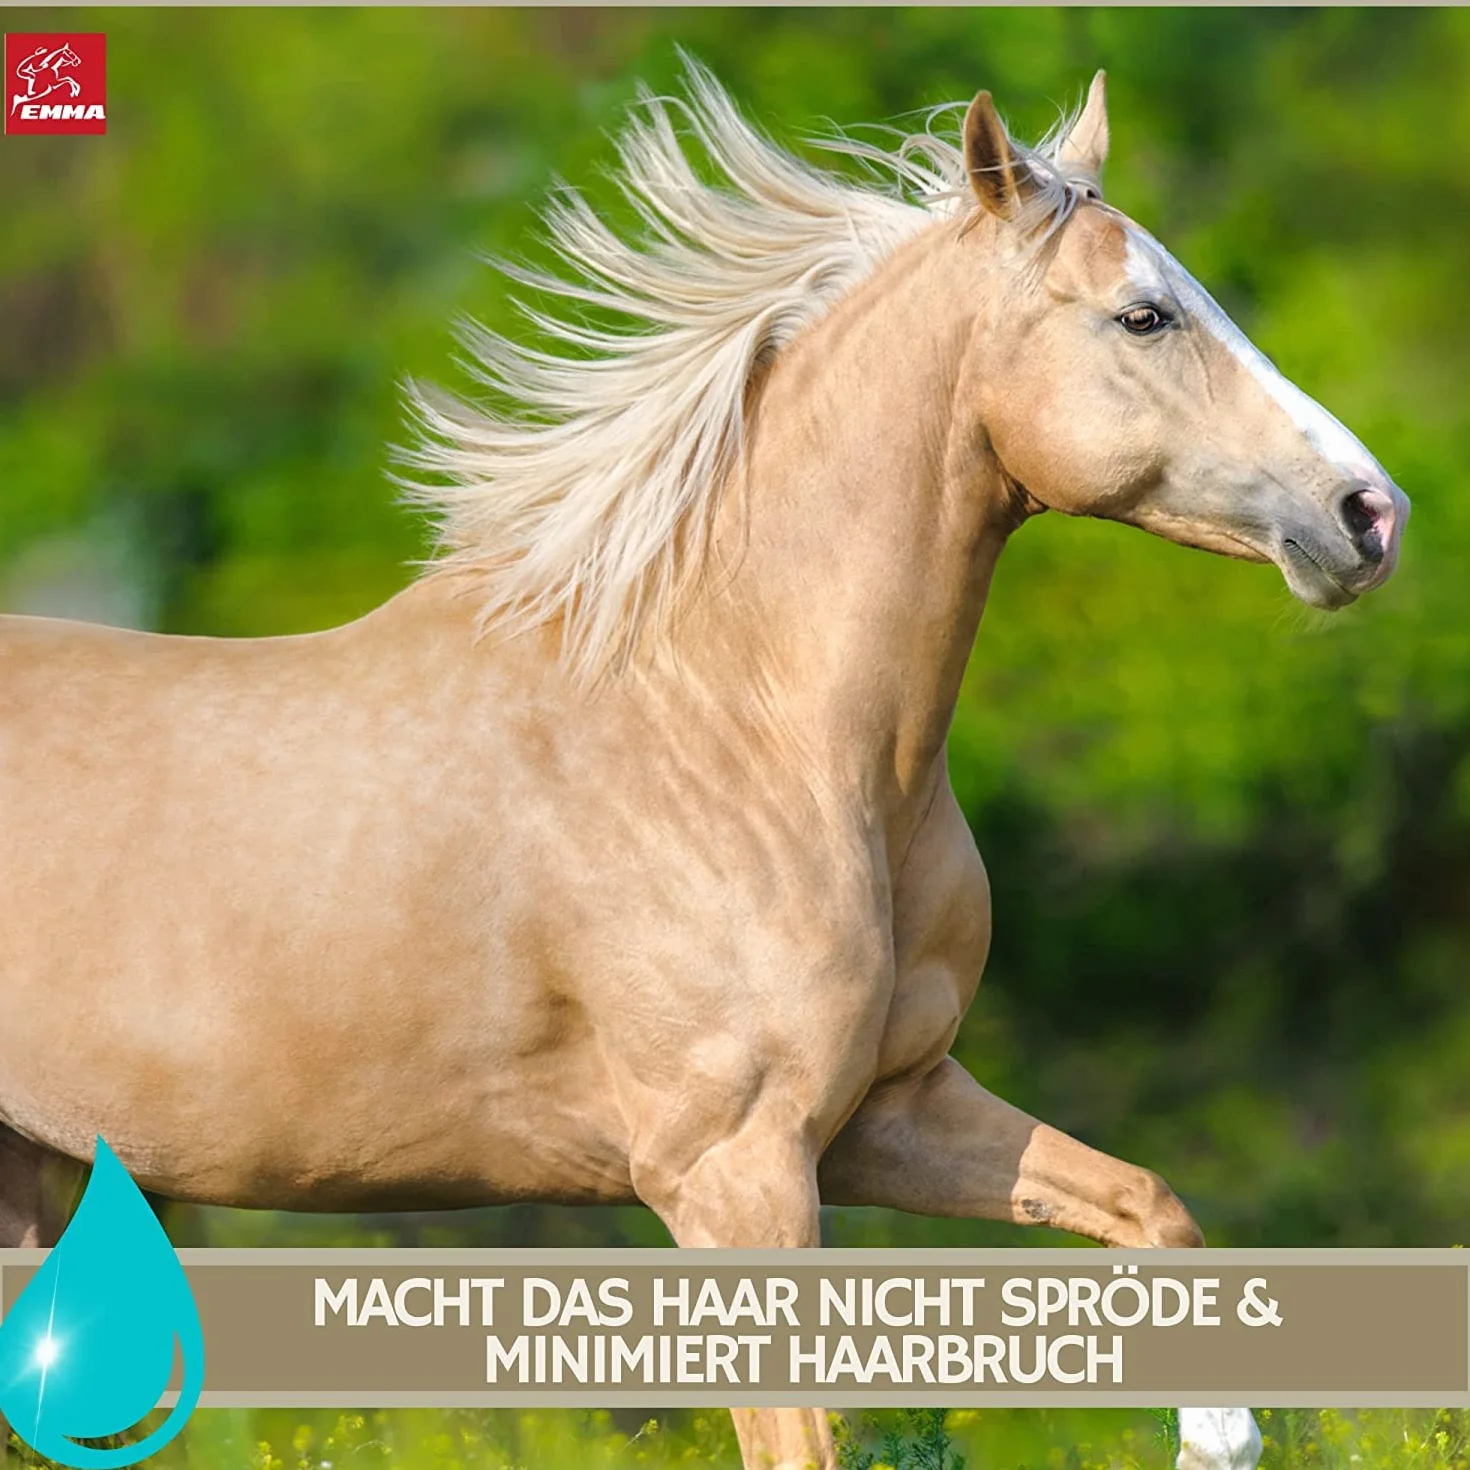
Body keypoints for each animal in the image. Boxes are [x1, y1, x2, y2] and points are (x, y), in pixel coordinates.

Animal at [0, 65, 1405, 1470]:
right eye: (1144, 313)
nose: (1369, 515)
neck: (746, 732)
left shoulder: (890, 1113)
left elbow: (1150, 1205)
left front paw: (1217, 1436)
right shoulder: (733, 1168)